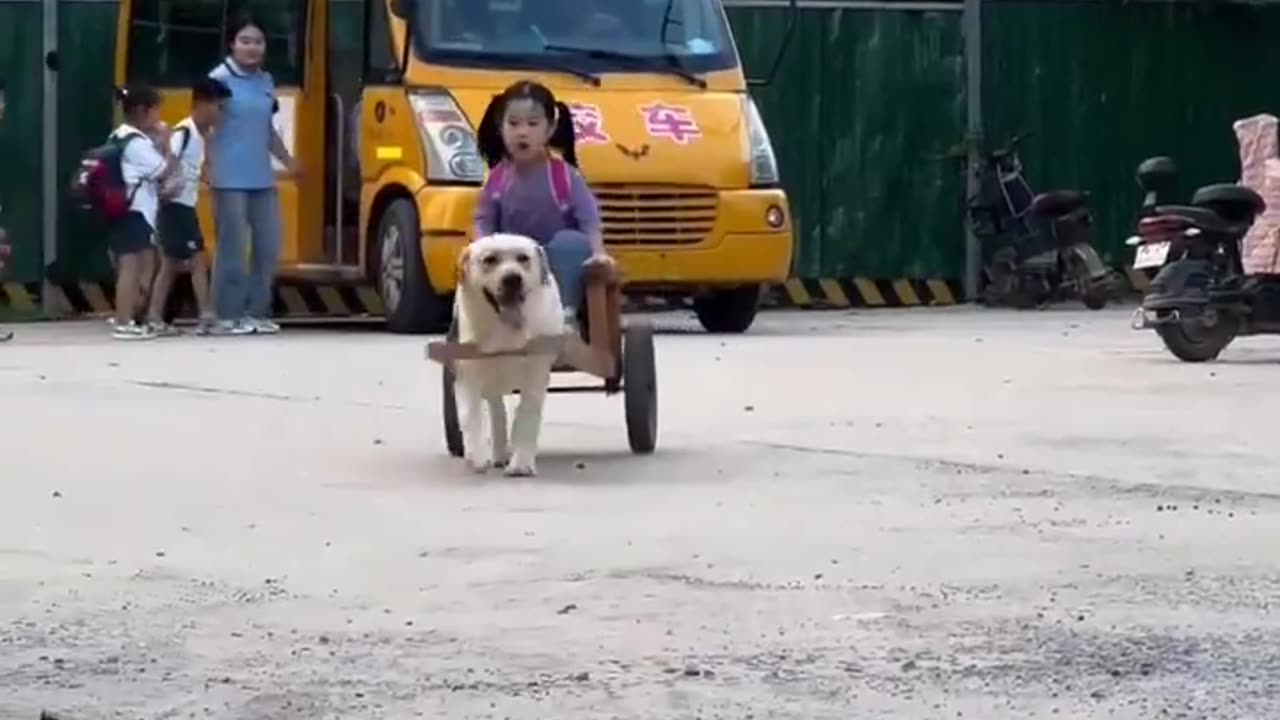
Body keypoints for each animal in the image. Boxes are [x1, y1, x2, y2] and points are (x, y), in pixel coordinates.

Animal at [455, 233, 565, 474]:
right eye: (489, 259)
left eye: (523, 258)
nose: (513, 278)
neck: (504, 332)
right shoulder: (468, 373)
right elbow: (471, 416)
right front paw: (477, 456)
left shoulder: (535, 372)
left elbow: (527, 415)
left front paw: (521, 463)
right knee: (497, 411)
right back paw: (497, 453)